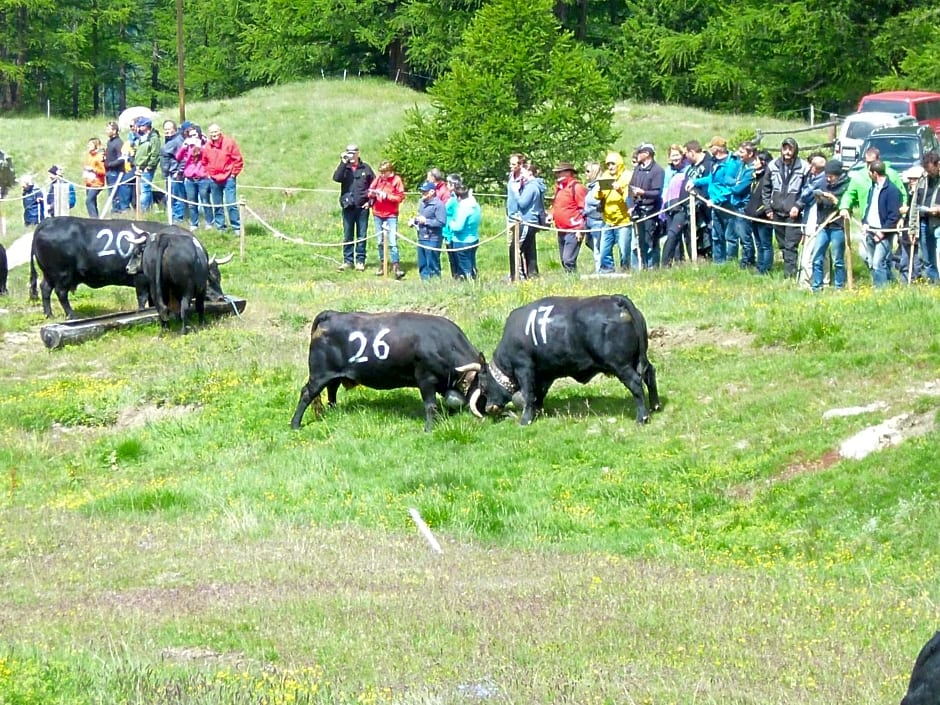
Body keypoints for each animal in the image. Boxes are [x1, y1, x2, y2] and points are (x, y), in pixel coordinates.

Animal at [29, 214, 191, 320]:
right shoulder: (140, 280)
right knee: (61, 293)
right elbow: (142, 298)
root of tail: (48, 221)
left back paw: (49, 315)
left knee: (45, 289)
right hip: (62, 273)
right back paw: (72, 315)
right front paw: (141, 312)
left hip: (50, 273)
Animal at [290, 310, 484, 432]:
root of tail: (331, 314)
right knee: (307, 393)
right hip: (319, 374)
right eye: (485, 386)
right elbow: (430, 405)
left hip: (333, 374)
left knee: (332, 389)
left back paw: (333, 411)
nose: (490, 408)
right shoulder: (426, 379)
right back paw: (295, 425)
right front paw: (429, 428)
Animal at [470, 294, 660, 426]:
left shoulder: (524, 368)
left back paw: (642, 417)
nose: (488, 408)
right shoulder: (545, 374)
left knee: (636, 383)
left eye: (483, 385)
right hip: (638, 360)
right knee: (649, 374)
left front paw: (526, 419)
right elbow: (539, 394)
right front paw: (538, 411)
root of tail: (615, 299)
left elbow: (528, 394)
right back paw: (655, 406)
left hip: (621, 365)